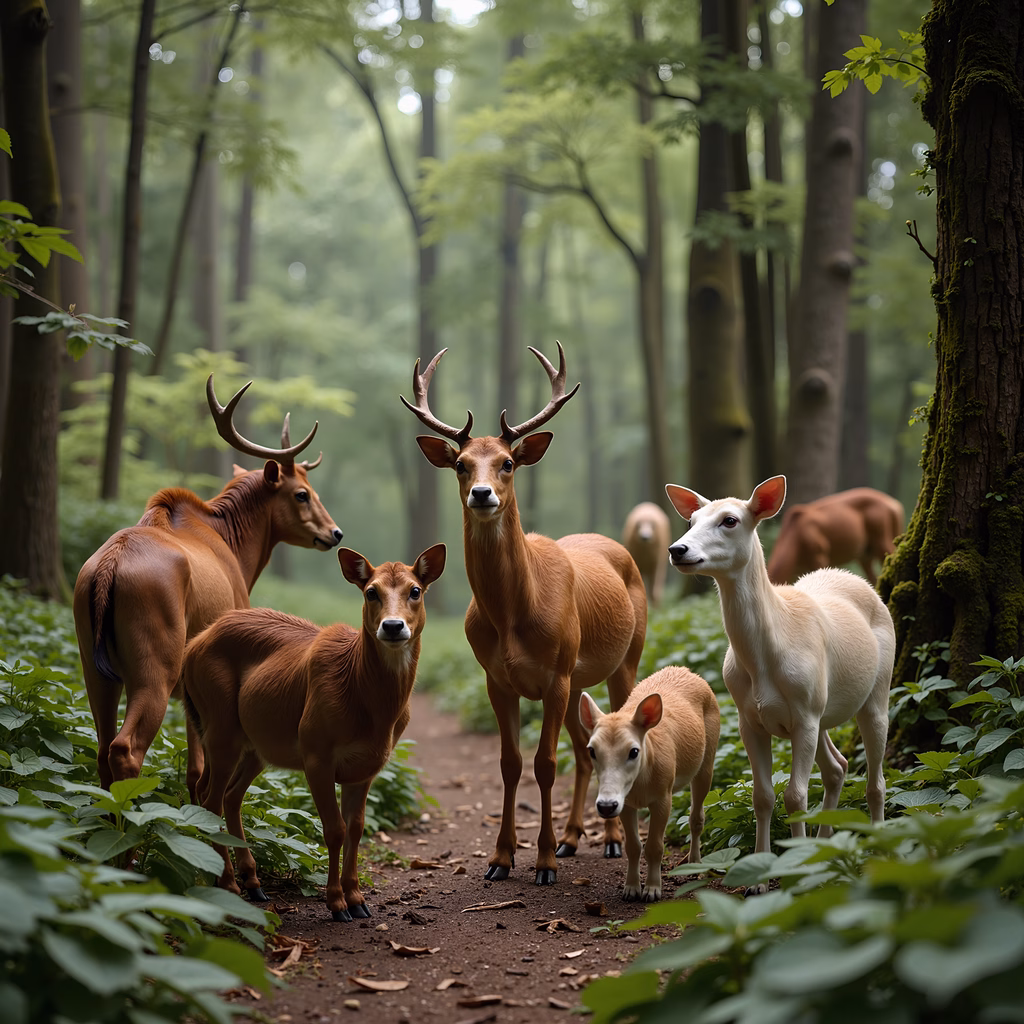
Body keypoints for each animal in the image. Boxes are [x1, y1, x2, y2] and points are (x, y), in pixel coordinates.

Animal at [73, 375, 343, 799]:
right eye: (302, 493)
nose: (335, 532)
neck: (238, 550)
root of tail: (108, 567)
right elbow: (199, 766)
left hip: (93, 664)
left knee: (101, 749)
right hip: (158, 664)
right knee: (124, 749)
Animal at [182, 543, 446, 922]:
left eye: (415, 591)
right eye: (371, 592)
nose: (393, 626)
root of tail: (191, 648)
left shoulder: (367, 766)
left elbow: (356, 827)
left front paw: (358, 900)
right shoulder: (315, 750)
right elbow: (334, 829)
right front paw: (337, 903)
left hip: (257, 745)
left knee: (228, 796)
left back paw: (251, 882)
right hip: (220, 724)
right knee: (210, 798)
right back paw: (228, 883)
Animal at [402, 343, 648, 885]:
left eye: (508, 462)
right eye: (461, 464)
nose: (482, 494)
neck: (515, 613)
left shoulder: (555, 673)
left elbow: (545, 763)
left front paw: (545, 862)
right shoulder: (496, 677)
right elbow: (510, 763)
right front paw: (500, 859)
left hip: (625, 658)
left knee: (608, 732)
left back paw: (610, 841)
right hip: (579, 680)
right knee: (585, 750)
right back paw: (577, 837)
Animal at [579, 666, 719, 903]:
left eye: (634, 751)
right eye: (592, 751)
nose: (606, 806)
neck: (640, 785)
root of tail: (688, 671)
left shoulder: (663, 796)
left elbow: (655, 846)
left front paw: (653, 890)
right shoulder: (625, 803)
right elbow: (633, 846)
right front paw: (631, 889)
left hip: (709, 754)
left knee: (697, 816)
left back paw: (695, 866)